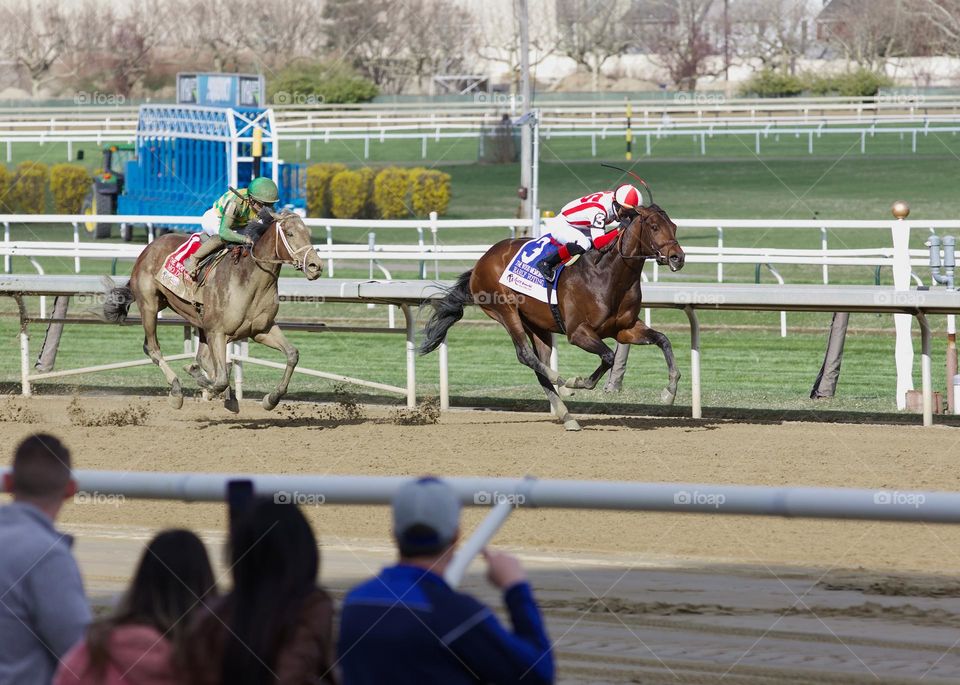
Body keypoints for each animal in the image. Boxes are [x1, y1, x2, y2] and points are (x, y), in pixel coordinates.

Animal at [102, 211, 322, 408]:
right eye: (290, 233)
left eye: (308, 233)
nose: (316, 266)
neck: (249, 279)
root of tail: (148, 248)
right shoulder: (218, 332)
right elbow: (220, 378)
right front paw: (197, 376)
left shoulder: (261, 330)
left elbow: (292, 354)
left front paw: (272, 398)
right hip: (150, 305)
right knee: (153, 348)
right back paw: (176, 390)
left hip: (197, 320)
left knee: (204, 358)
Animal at [420, 203, 684, 428]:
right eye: (654, 227)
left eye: (674, 226)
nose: (677, 257)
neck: (608, 275)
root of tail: (481, 261)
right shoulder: (577, 332)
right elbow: (608, 356)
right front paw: (578, 382)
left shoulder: (625, 329)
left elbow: (663, 340)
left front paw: (669, 392)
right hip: (505, 310)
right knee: (526, 355)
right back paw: (564, 383)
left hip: (537, 325)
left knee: (540, 365)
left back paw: (568, 416)